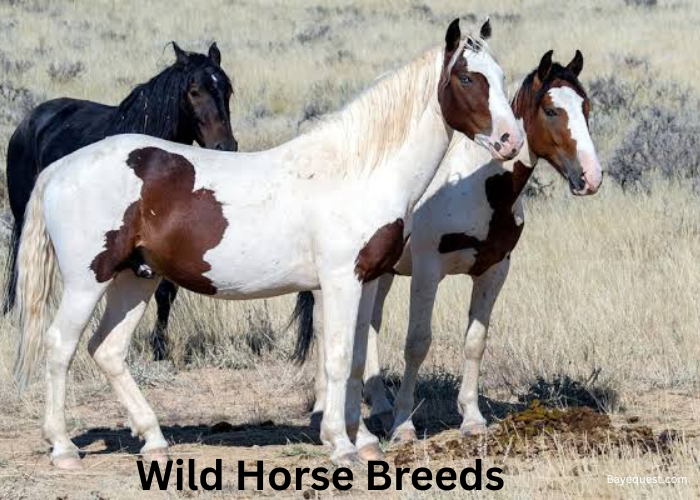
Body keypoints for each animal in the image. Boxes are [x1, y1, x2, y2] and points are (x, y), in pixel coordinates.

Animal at [4, 42, 238, 361]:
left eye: (228, 89)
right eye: (194, 91)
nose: (225, 146)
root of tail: (30, 120)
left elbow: (166, 292)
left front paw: (160, 347)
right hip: (23, 219)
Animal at [298, 50, 603, 441]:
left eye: (586, 106)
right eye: (551, 110)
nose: (591, 177)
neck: (479, 187)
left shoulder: (494, 269)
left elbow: (475, 342)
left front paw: (471, 417)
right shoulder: (428, 271)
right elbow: (417, 344)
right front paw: (404, 424)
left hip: (381, 272)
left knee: (370, 325)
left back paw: (378, 406)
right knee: (325, 328)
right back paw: (324, 410)